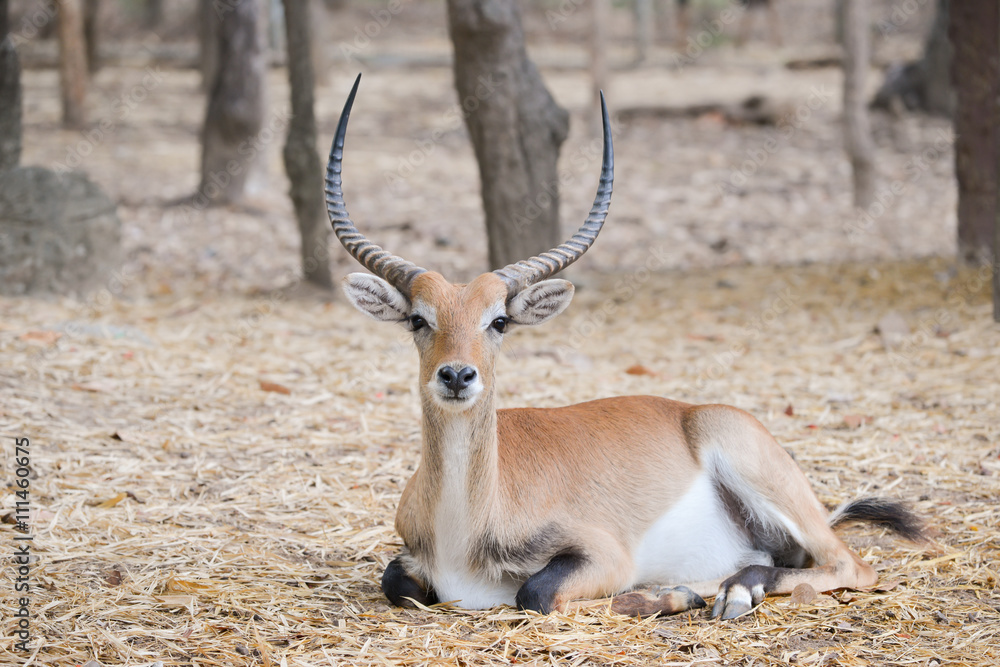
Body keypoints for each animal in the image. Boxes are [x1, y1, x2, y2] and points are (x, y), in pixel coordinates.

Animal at [328, 74, 920, 620]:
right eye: (418, 319)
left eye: (498, 321)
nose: (456, 376)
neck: (467, 526)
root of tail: (696, 412)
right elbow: (398, 583)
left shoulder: (605, 556)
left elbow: (534, 593)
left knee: (851, 566)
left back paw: (714, 593)